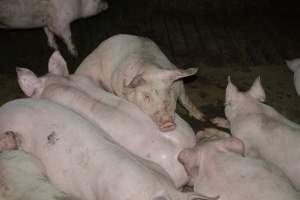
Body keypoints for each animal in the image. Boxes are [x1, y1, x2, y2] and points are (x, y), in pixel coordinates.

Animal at [76, 33, 205, 132]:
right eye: (146, 96)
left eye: (168, 92)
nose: (168, 124)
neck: (150, 68)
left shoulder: (180, 85)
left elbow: (186, 100)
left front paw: (202, 118)